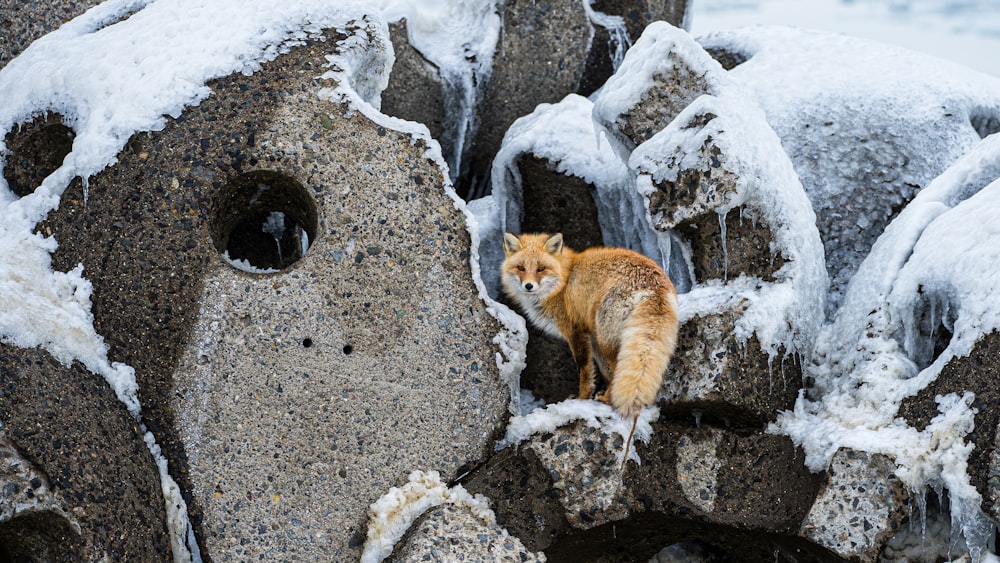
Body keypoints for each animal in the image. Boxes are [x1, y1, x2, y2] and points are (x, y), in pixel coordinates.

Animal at [500, 232, 680, 450]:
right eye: (521, 268)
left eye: (541, 268)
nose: (528, 286)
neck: (563, 282)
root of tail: (653, 285)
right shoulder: (591, 337)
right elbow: (603, 371)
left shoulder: (576, 332)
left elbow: (585, 370)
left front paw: (581, 399)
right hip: (607, 339)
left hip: (606, 340)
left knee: (618, 367)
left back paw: (606, 399)